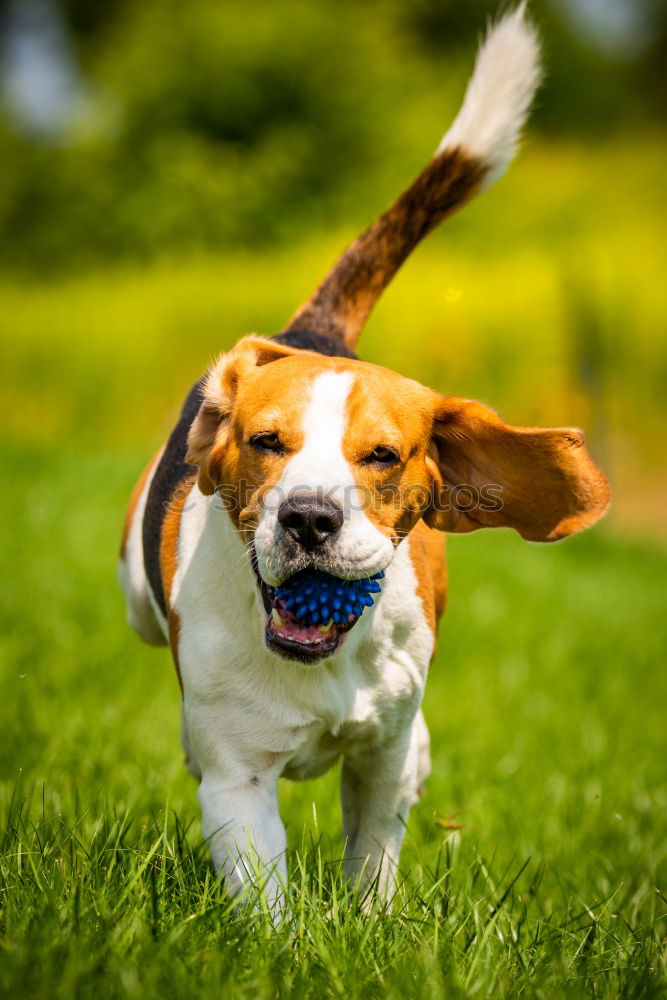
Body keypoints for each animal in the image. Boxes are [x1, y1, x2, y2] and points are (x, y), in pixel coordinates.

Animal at [117, 7, 608, 916]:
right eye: (265, 441)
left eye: (381, 455)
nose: (310, 517)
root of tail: (311, 331)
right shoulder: (238, 783)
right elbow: (264, 895)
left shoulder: (378, 756)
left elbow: (375, 850)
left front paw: (369, 923)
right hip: (137, 592)